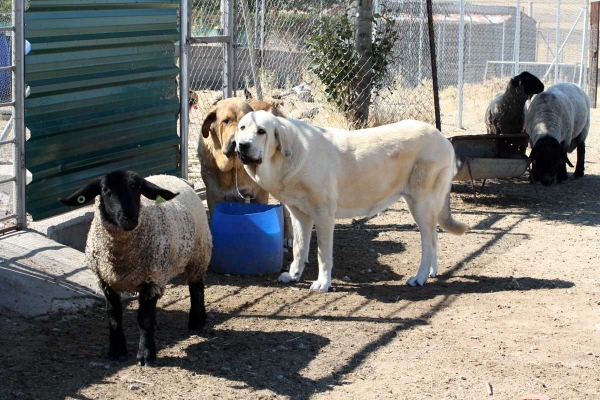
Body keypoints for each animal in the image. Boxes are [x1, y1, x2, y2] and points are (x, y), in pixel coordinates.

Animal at [61, 170, 211, 368]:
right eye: (105, 189)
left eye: (138, 188)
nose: (130, 218)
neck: (119, 259)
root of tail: (173, 176)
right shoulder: (106, 280)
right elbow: (114, 316)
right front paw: (117, 350)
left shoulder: (152, 278)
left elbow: (144, 319)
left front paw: (146, 355)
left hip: (199, 252)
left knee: (196, 287)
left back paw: (196, 321)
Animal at [231, 111, 468, 292]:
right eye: (242, 128)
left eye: (261, 131)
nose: (242, 145)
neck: (287, 159)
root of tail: (443, 139)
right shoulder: (300, 216)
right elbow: (299, 249)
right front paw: (294, 275)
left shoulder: (324, 216)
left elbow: (323, 255)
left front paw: (322, 283)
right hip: (420, 207)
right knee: (434, 238)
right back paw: (430, 273)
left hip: (421, 205)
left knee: (428, 243)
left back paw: (419, 278)